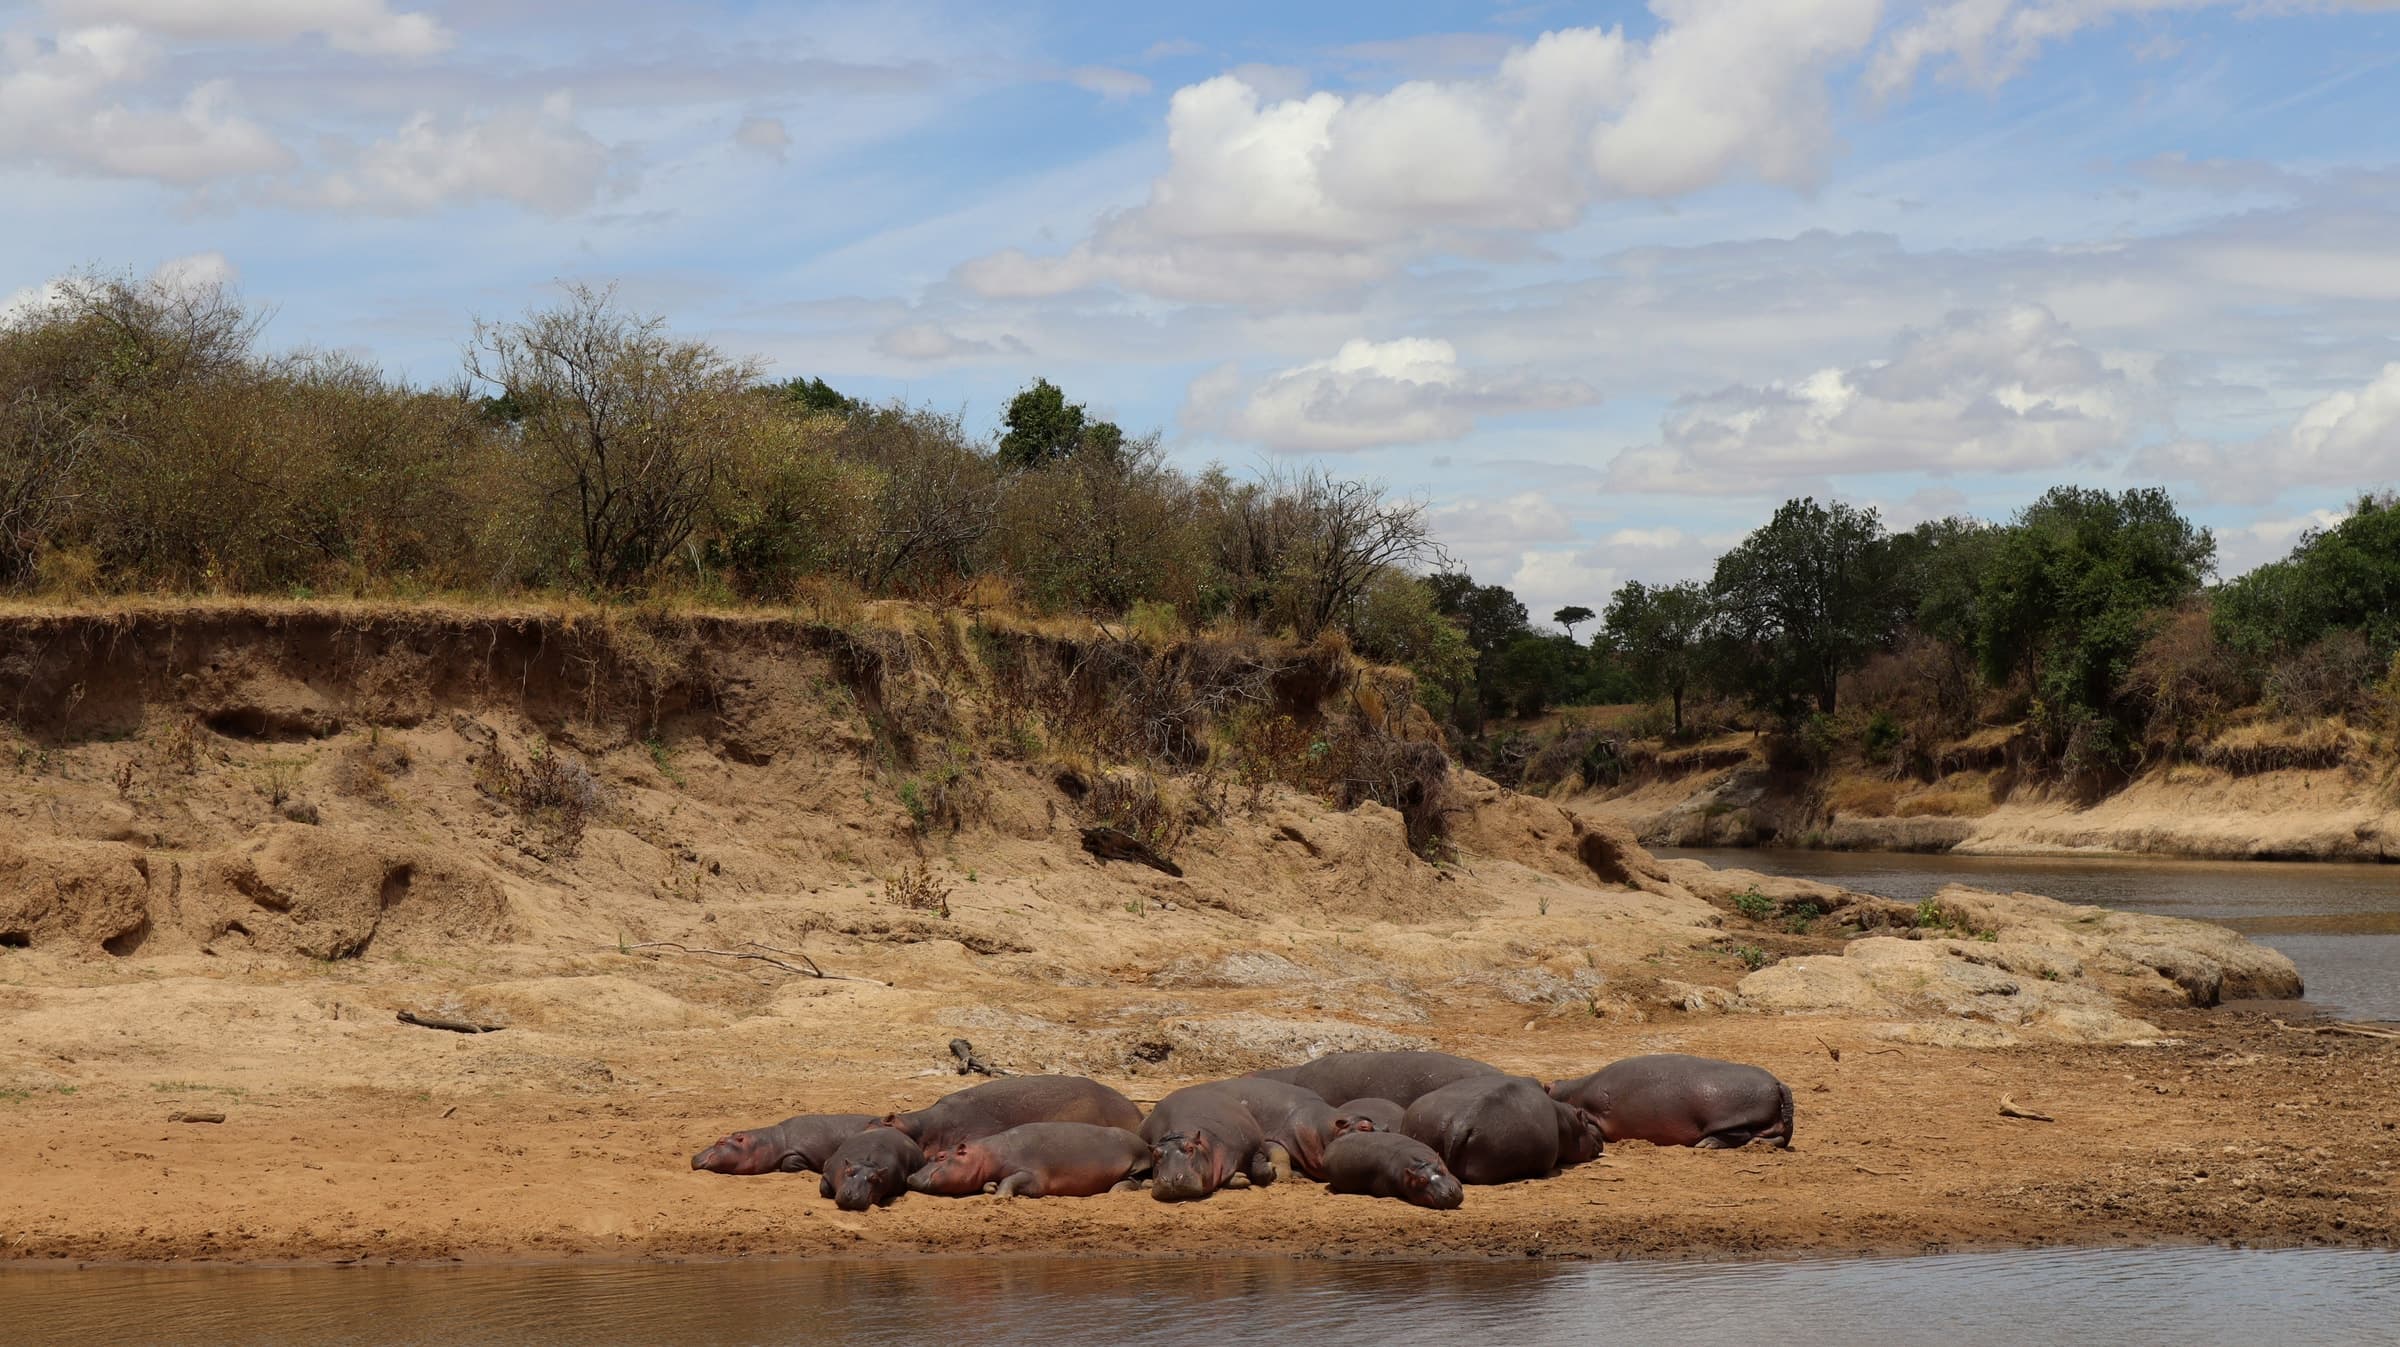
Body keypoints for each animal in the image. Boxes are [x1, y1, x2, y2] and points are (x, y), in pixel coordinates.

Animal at [906, 1122, 1152, 1198]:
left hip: (1135, 1162)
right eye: (931, 1155)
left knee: (1136, 1181)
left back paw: (1116, 1190)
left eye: (941, 1156)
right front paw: (991, 1188)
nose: (911, 1176)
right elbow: (990, 1182)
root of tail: (1145, 1144)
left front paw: (1001, 1197)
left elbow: (1012, 1179)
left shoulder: (1032, 1174)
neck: (987, 1153)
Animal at [1139, 1081, 1280, 1202]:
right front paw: (1241, 1177)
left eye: (1190, 1148)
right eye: (1156, 1154)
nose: (1171, 1179)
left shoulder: (1254, 1146)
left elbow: (1260, 1170)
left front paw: (1271, 1167)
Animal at [1548, 1054, 1794, 1149]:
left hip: (1732, 1117)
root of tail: (1777, 1083)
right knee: (1774, 1138)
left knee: (1738, 1134)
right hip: (1769, 1123)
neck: (1568, 1092)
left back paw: (1706, 1144)